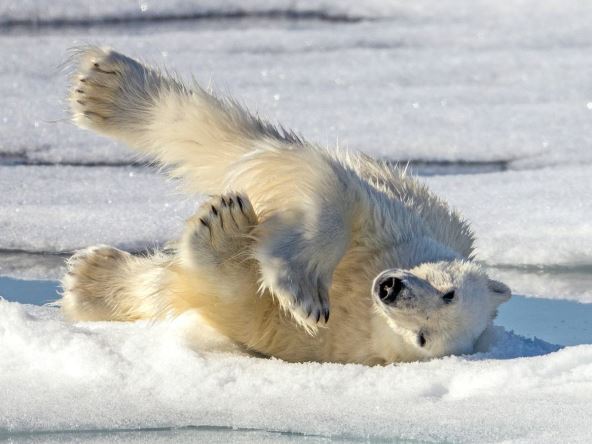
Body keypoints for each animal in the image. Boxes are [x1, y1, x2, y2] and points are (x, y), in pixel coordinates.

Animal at [61, 46, 512, 364]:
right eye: (448, 293)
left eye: (423, 336)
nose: (390, 289)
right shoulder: (393, 221)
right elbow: (327, 189)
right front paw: (305, 284)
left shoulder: (320, 342)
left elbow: (242, 303)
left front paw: (227, 237)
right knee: (225, 134)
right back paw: (107, 90)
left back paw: (88, 278)